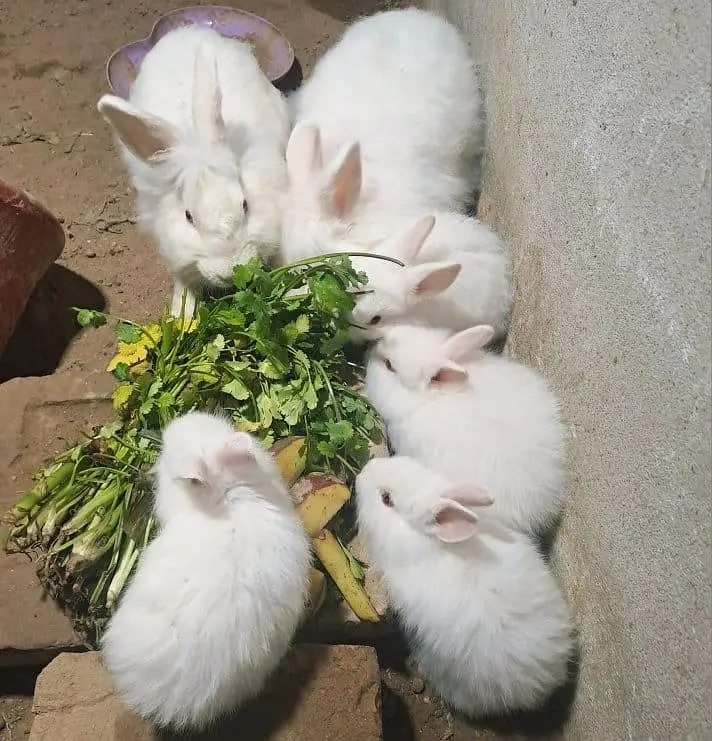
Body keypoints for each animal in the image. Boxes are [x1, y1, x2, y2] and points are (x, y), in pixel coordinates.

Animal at [97, 25, 290, 316]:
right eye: (189, 217)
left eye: (245, 205)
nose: (230, 271)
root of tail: (186, 29)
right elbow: (184, 285)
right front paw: (182, 317)